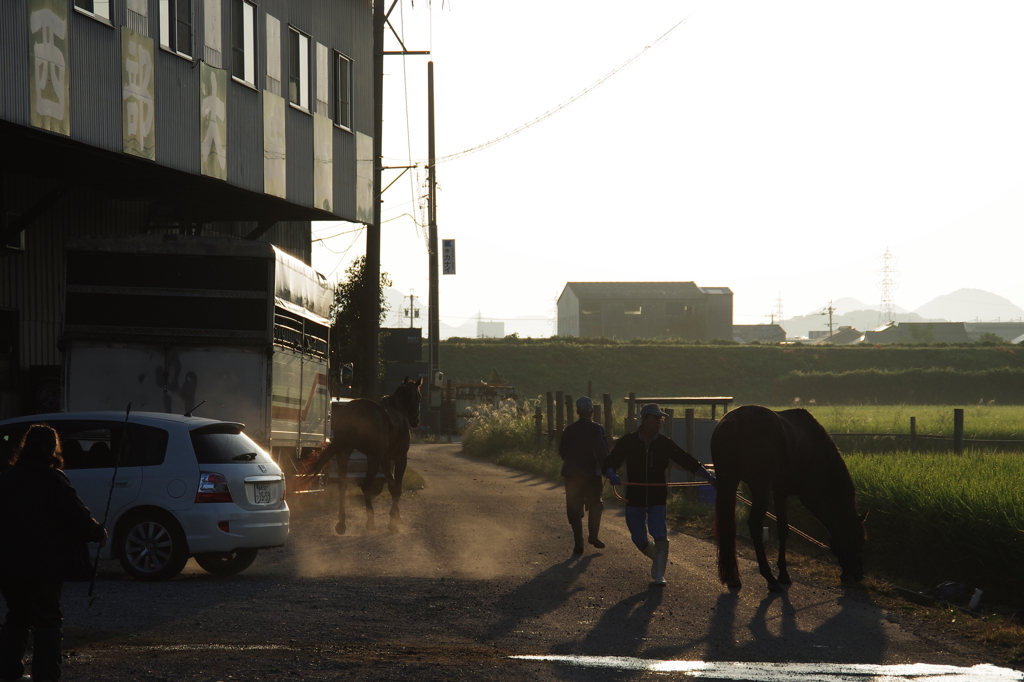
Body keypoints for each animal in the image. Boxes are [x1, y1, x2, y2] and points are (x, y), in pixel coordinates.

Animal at [301, 376, 421, 532]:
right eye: (419, 397)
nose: (416, 421)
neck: (398, 412)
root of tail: (353, 411)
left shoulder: (386, 460)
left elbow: (391, 486)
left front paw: (396, 517)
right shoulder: (399, 458)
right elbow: (397, 488)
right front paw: (393, 520)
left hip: (344, 453)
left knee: (343, 485)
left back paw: (341, 522)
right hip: (373, 458)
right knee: (366, 485)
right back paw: (370, 520)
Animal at [712, 403, 864, 589]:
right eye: (859, 539)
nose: (859, 574)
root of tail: (732, 422)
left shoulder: (780, 493)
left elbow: (783, 530)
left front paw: (784, 574)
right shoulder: (811, 497)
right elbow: (833, 527)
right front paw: (846, 571)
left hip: (728, 481)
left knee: (729, 524)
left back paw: (734, 577)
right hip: (760, 489)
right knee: (754, 524)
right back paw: (769, 578)